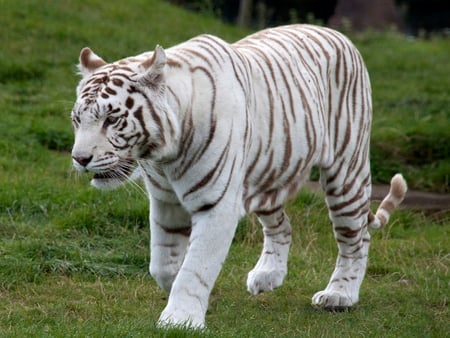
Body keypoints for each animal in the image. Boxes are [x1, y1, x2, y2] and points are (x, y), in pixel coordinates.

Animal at [71, 24, 408, 330]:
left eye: (111, 119)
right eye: (77, 119)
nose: (80, 159)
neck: (163, 156)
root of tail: (337, 34)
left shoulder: (216, 205)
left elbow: (196, 266)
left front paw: (180, 319)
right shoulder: (165, 201)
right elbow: (163, 264)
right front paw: (189, 299)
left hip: (346, 171)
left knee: (356, 236)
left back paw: (340, 295)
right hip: (267, 174)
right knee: (282, 226)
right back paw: (268, 276)